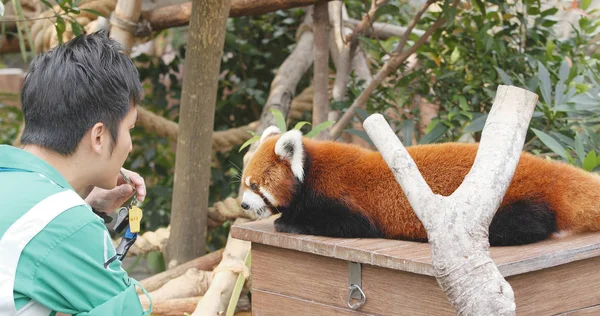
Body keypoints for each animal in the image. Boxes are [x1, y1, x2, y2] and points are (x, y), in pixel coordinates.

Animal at [239, 126, 600, 247]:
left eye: (255, 186)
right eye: (243, 184)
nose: (242, 205)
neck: (312, 166)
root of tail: (547, 169)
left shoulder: (341, 195)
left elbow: (349, 224)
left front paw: (288, 221)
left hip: (508, 201)